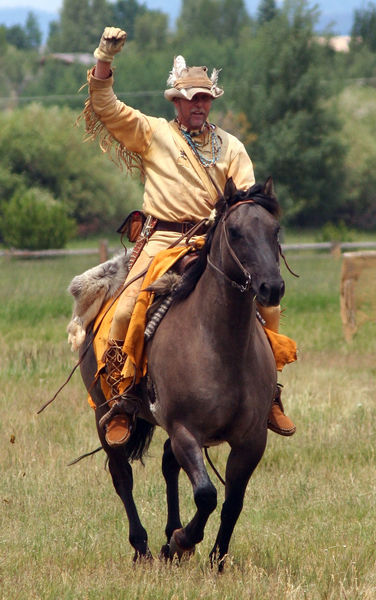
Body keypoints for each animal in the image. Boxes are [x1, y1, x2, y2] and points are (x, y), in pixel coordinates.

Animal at [79, 176, 284, 568]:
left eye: (275, 229)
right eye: (234, 231)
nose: (272, 287)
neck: (220, 343)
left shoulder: (251, 441)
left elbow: (232, 502)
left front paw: (215, 559)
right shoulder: (186, 430)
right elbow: (206, 494)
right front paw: (181, 542)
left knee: (167, 464)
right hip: (103, 415)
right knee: (122, 475)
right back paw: (143, 547)